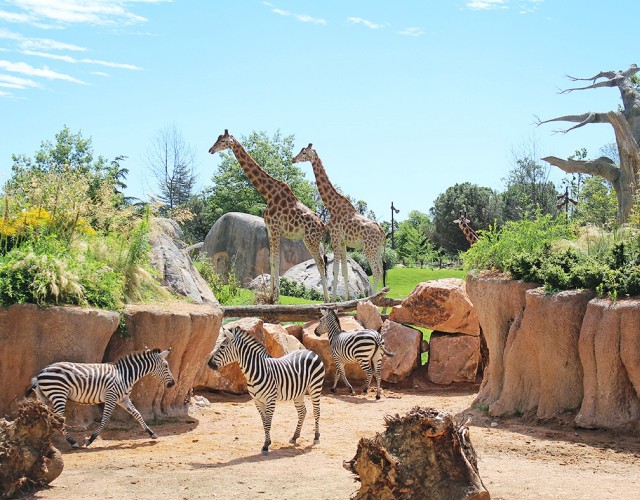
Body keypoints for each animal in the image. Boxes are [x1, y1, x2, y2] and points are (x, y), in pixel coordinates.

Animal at [28, 348, 175, 450]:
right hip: (58, 393)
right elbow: (105, 419)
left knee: (47, 416)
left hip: (47, 397)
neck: (125, 375)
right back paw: (72, 442)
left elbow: (137, 414)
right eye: (166, 366)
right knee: (58, 419)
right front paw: (91, 439)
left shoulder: (123, 398)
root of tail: (41, 373)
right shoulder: (111, 397)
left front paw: (151, 433)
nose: (173, 384)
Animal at [210, 130, 330, 300]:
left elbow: (276, 261)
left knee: (320, 263)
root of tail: (322, 225)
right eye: (218, 138)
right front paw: (271, 295)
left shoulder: (275, 228)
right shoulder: (270, 229)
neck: (268, 193)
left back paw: (327, 299)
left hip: (310, 240)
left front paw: (276, 295)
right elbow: (272, 261)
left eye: (222, 141)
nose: (210, 150)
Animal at [210, 326, 324, 456]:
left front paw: (265, 446)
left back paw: (316, 437)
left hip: (315, 386)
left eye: (222, 347)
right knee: (302, 412)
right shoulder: (257, 401)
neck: (256, 372)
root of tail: (310, 351)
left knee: (316, 411)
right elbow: (264, 423)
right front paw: (267, 443)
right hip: (299, 392)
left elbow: (268, 422)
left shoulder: (270, 400)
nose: (209, 363)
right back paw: (295, 436)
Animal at [292, 145, 384, 300]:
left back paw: (372, 298)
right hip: (376, 249)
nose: (293, 159)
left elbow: (335, 269)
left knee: (376, 271)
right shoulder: (343, 242)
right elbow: (344, 271)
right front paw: (346, 299)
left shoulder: (335, 238)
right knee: (382, 270)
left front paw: (334, 299)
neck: (332, 206)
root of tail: (382, 233)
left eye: (304, 152)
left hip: (369, 248)